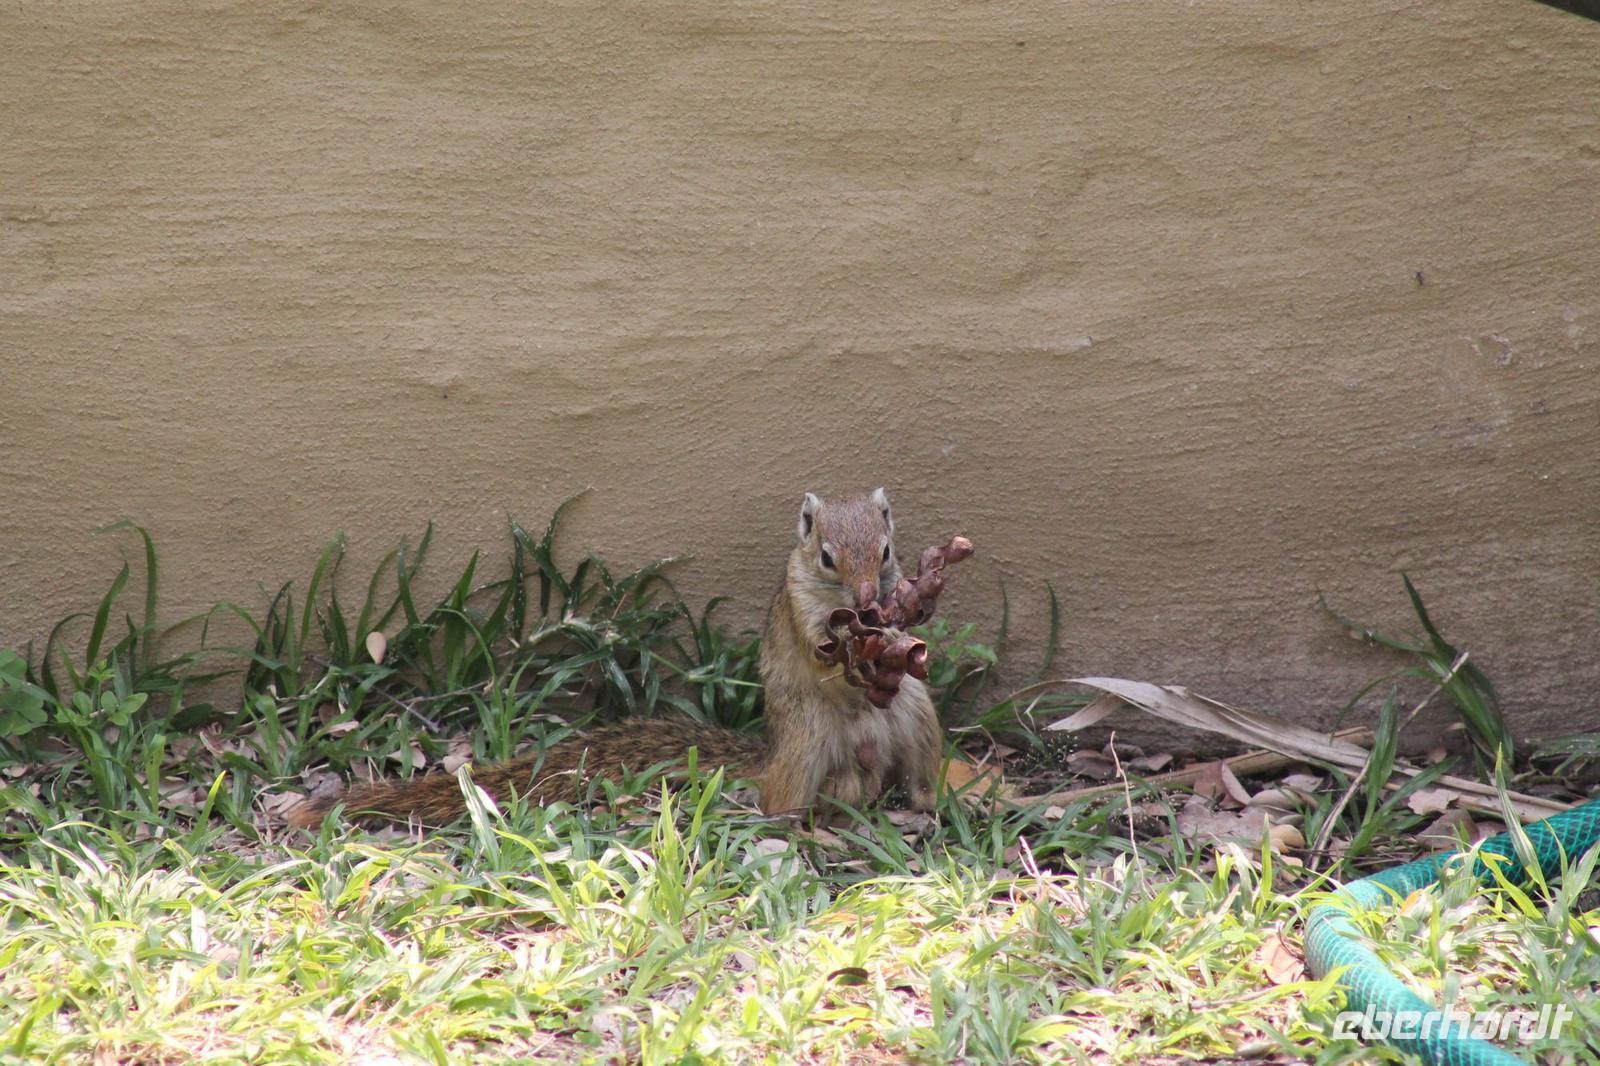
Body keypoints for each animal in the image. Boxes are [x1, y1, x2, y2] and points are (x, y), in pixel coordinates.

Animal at [286, 488, 944, 828]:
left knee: (913, 781)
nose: (869, 595)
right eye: (827, 557)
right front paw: (847, 655)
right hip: (807, 744)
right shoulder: (800, 609)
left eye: (887, 551)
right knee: (779, 806)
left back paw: (940, 804)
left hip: (917, 721)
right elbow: (816, 648)